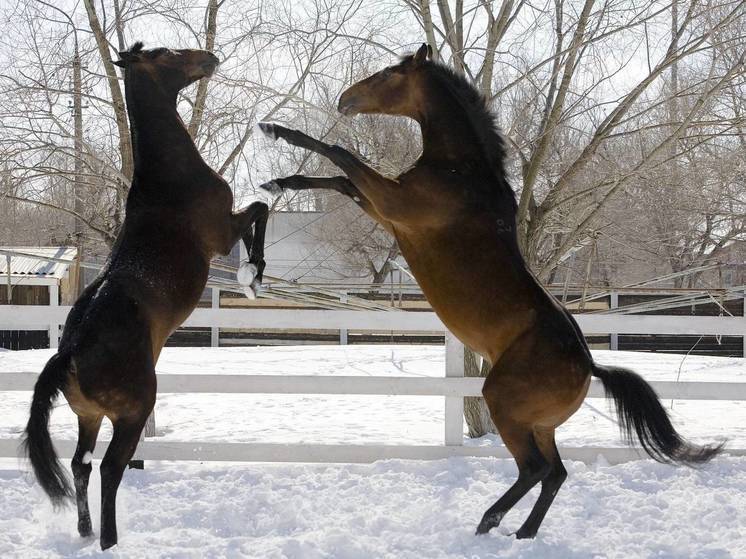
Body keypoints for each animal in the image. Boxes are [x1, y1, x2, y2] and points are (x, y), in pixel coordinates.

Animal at [23, 43, 268, 552]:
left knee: (79, 465)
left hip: (89, 416)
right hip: (132, 414)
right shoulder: (222, 231)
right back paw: (110, 540)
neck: (168, 178)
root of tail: (69, 351)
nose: (209, 57)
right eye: (167, 53)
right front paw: (253, 273)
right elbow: (261, 209)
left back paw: (85, 531)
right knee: (109, 468)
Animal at [260, 44, 720, 544]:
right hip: (539, 423)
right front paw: (279, 182)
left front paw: (276, 131)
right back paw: (523, 534)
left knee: (534, 469)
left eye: (388, 73)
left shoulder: (393, 203)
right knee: (555, 473)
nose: (345, 99)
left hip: (505, 406)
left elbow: (341, 156)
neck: (461, 170)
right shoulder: (385, 209)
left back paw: (488, 520)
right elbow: (341, 180)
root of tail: (590, 365)